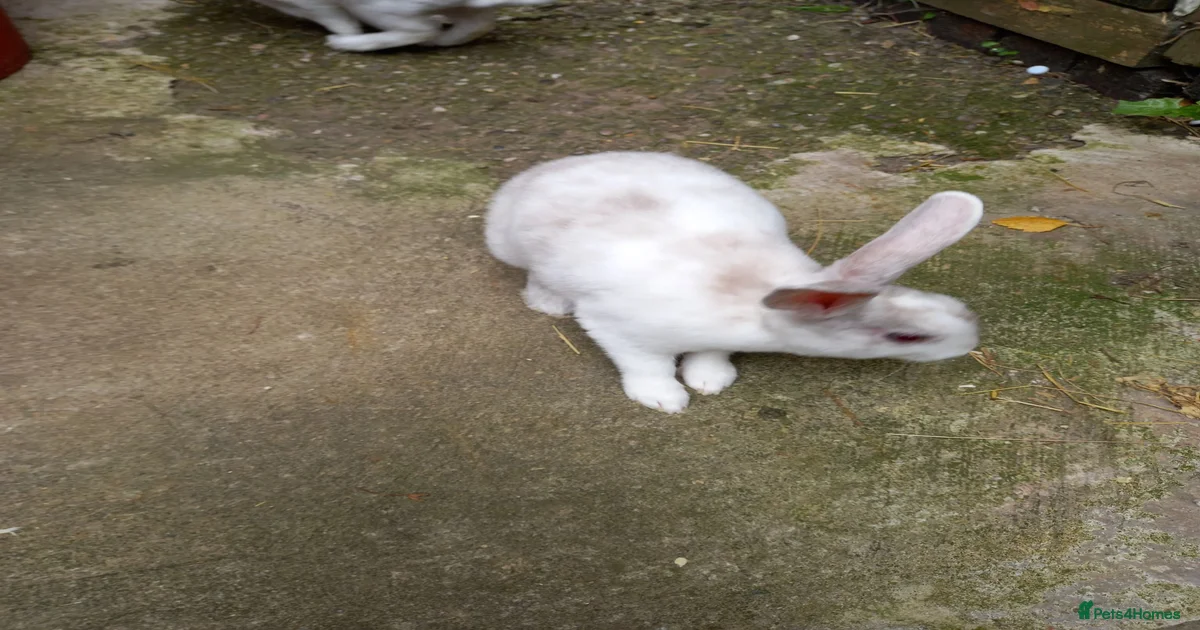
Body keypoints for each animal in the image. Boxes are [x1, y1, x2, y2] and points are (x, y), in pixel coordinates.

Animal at [485, 152, 984, 413]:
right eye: (906, 336)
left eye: (956, 307)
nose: (971, 341)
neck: (754, 302)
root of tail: (545, 169)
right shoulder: (618, 329)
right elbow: (647, 366)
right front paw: (666, 399)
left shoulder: (714, 337)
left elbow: (711, 353)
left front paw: (710, 381)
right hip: (515, 250)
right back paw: (550, 305)